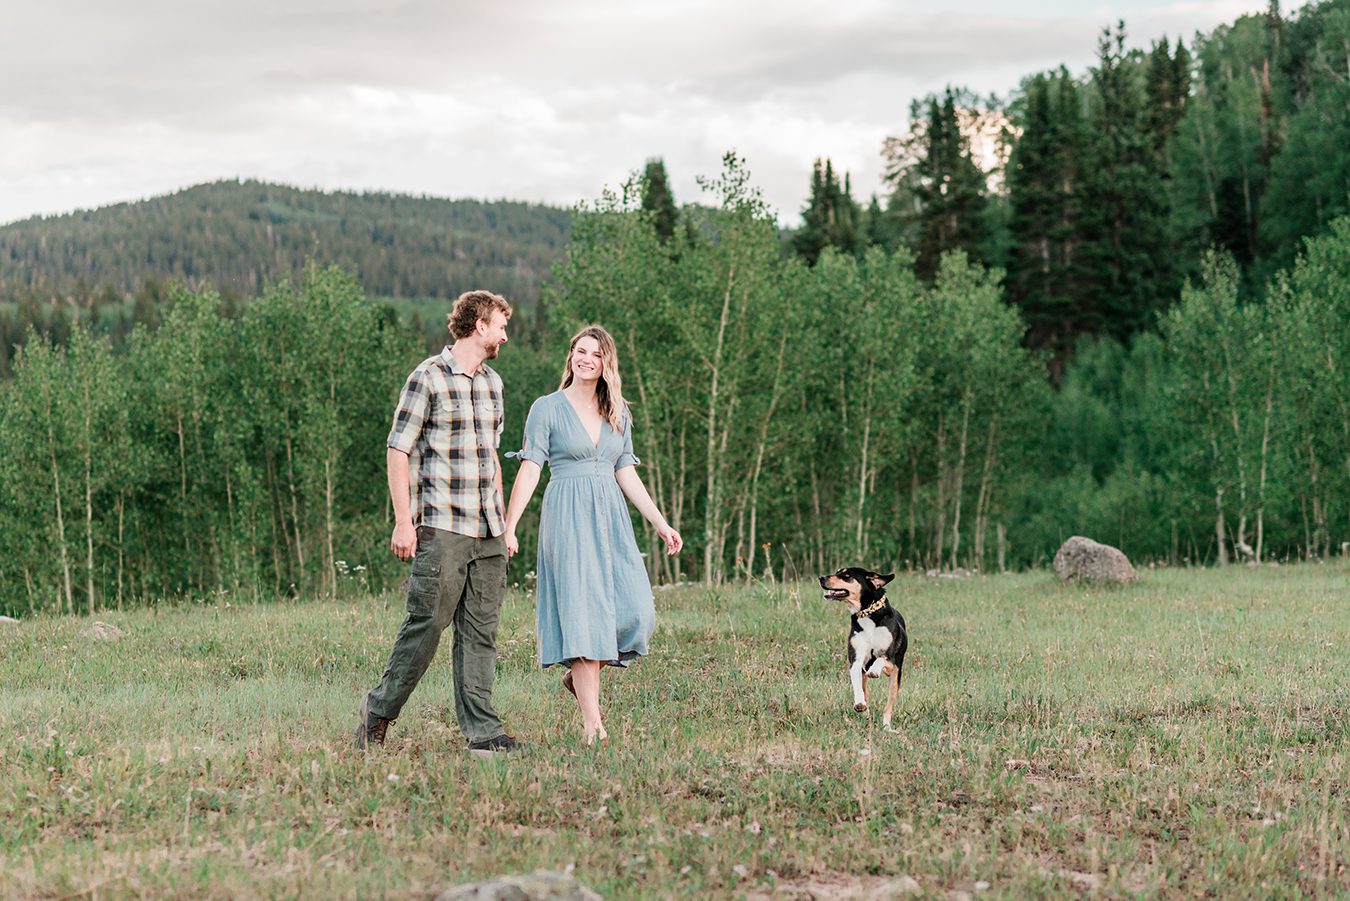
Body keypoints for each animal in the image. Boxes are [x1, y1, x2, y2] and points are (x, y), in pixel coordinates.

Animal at [820, 570, 907, 734]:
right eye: (837, 572)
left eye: (846, 575)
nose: (821, 578)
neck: (866, 614)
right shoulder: (856, 660)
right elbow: (856, 683)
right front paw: (859, 703)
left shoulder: (890, 660)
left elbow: (880, 659)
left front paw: (874, 670)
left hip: (895, 678)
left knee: (888, 707)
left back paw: (887, 728)